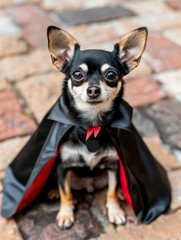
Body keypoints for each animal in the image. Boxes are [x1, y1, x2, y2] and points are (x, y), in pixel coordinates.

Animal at [47, 26, 148, 229]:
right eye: (77, 74)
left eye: (111, 75)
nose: (93, 89)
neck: (91, 126)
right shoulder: (62, 165)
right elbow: (66, 193)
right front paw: (65, 214)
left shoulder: (114, 165)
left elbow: (111, 190)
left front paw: (115, 211)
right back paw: (54, 191)